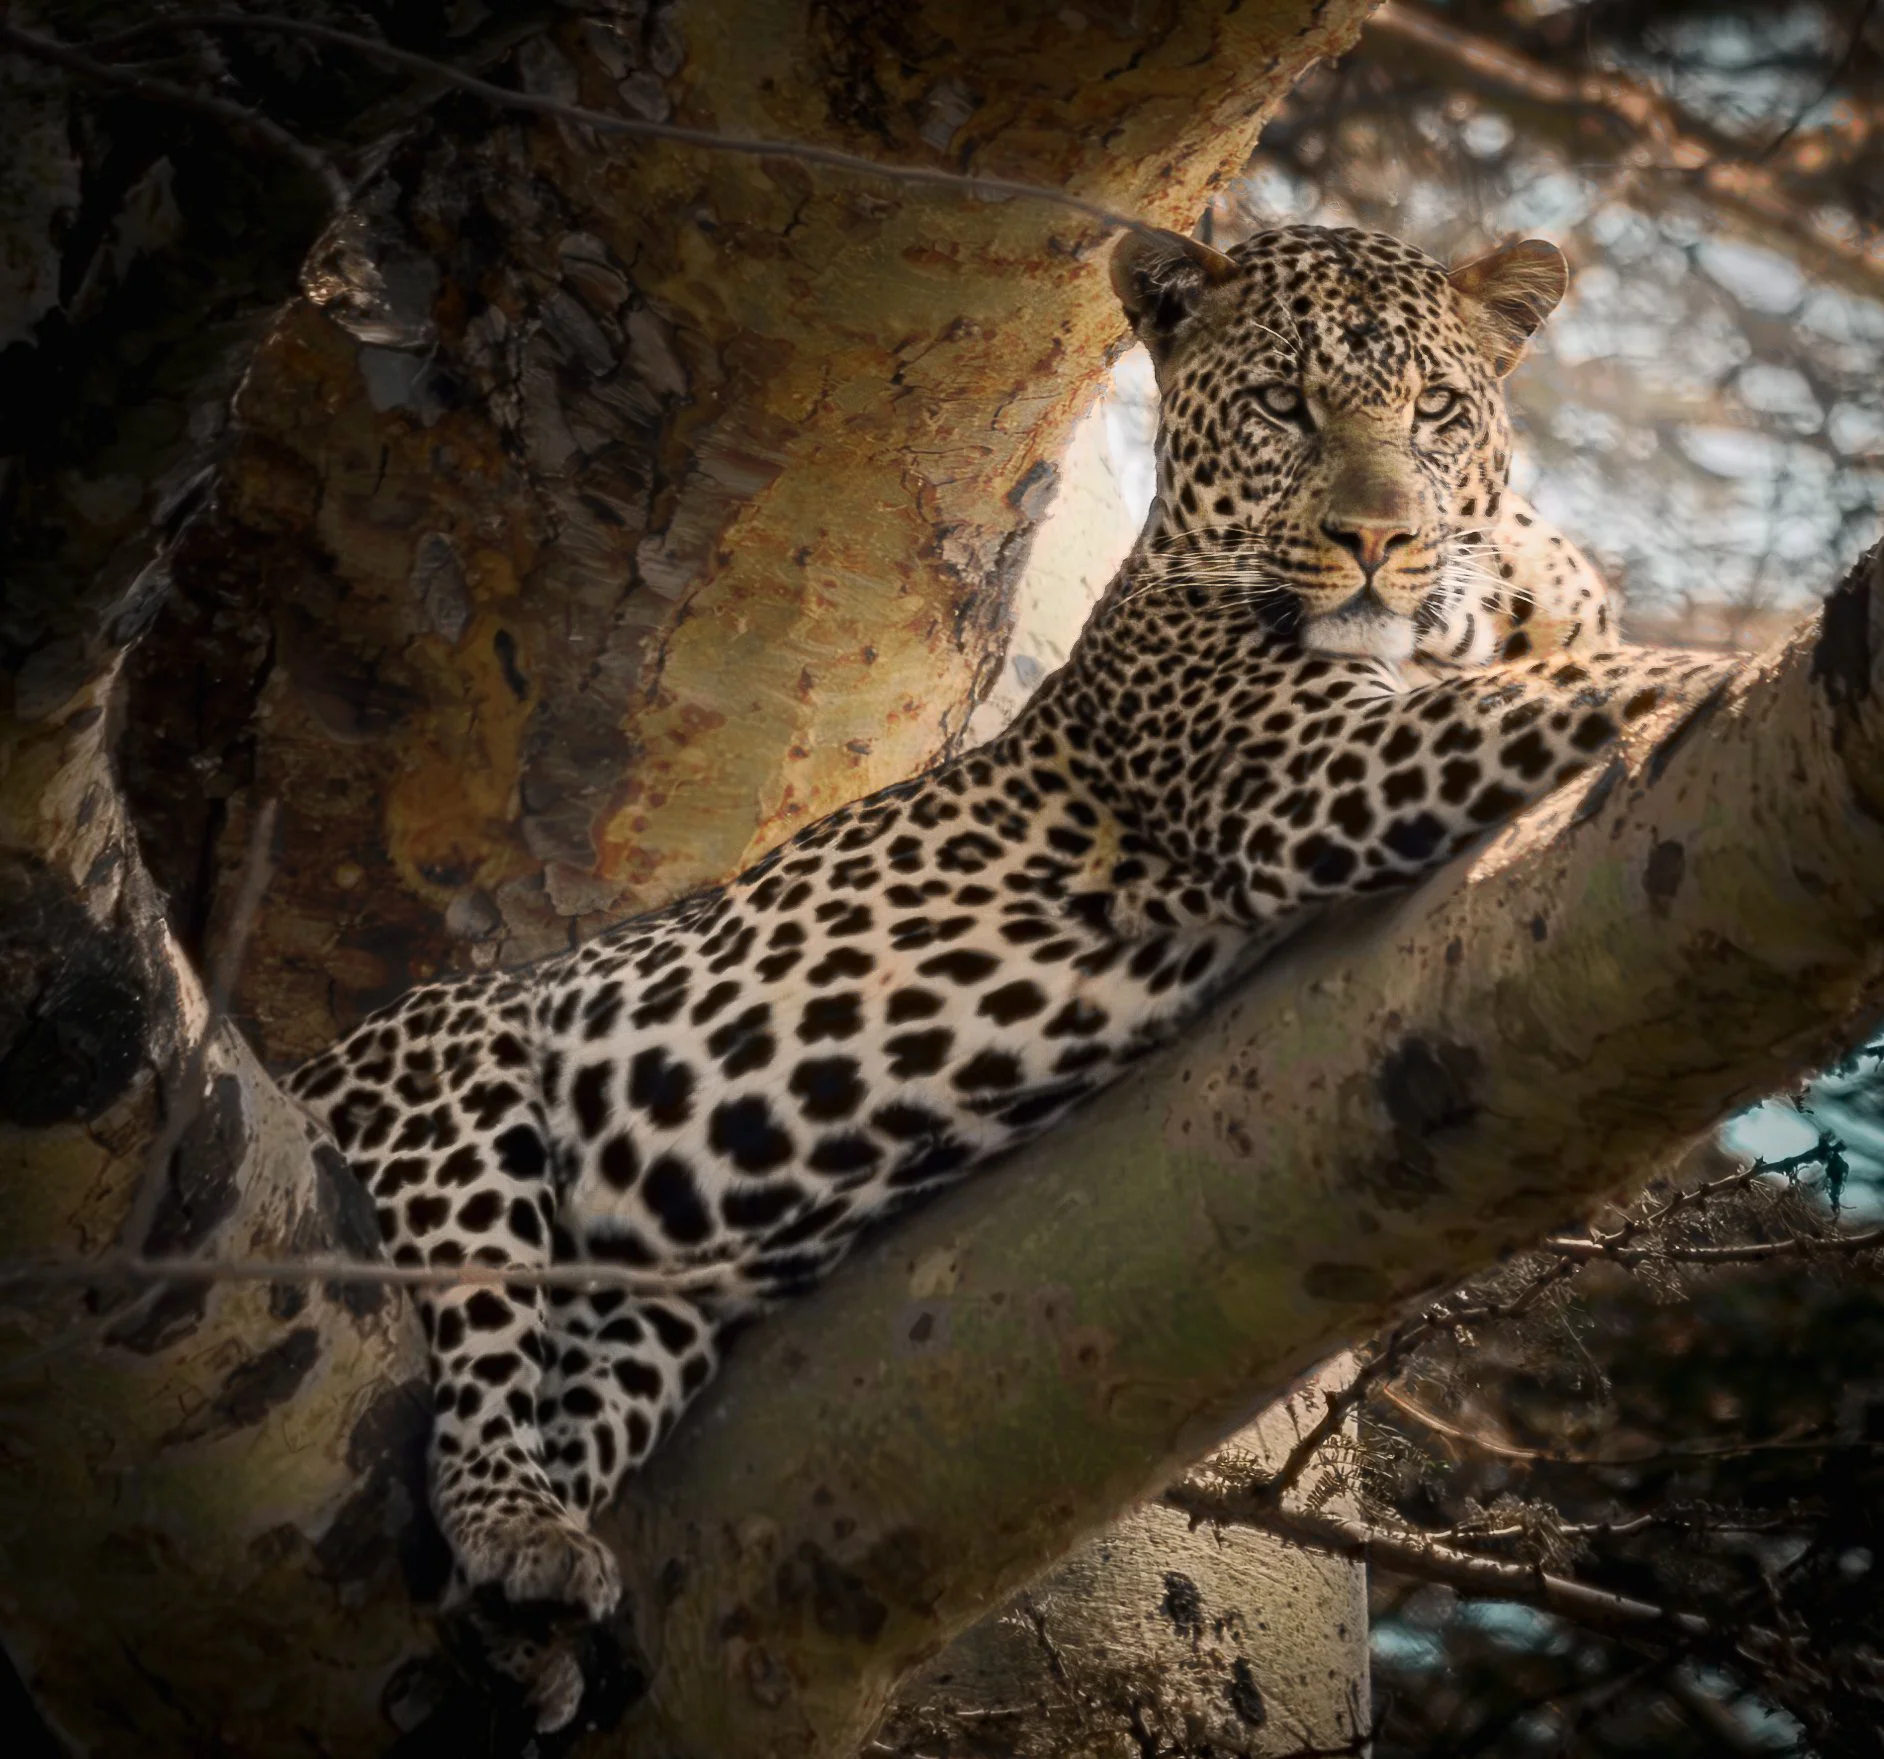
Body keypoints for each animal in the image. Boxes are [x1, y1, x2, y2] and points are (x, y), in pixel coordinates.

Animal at [286, 221, 1731, 1728]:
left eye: (1438, 411)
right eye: (1285, 406)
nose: (1380, 540)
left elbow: (1556, 652)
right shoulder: (1301, 766)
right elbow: (1567, 690)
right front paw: (1729, 664)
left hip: (648, 1310)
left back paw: (524, 1622)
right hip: (453, 1077)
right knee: (480, 1355)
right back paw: (519, 1529)